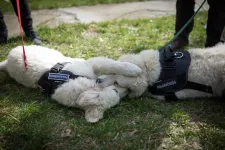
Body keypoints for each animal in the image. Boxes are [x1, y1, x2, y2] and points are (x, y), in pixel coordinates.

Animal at [0, 45, 142, 122]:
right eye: (116, 92)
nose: (129, 91)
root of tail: (7, 62)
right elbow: (110, 65)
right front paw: (135, 70)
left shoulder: (91, 64)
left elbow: (111, 65)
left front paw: (133, 69)